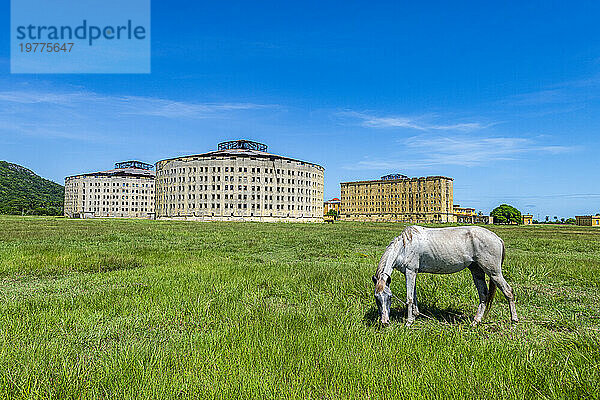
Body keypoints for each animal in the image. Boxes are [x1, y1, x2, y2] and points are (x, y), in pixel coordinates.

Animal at [372, 225, 516, 324]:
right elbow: (414, 295)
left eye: (389, 297)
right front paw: (416, 315)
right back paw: (475, 321)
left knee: (508, 291)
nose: (384, 322)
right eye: (377, 298)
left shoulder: (410, 271)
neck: (404, 246)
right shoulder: (413, 273)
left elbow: (409, 298)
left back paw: (514, 320)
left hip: (493, 272)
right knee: (484, 295)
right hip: (477, 271)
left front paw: (409, 322)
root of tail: (497, 238)